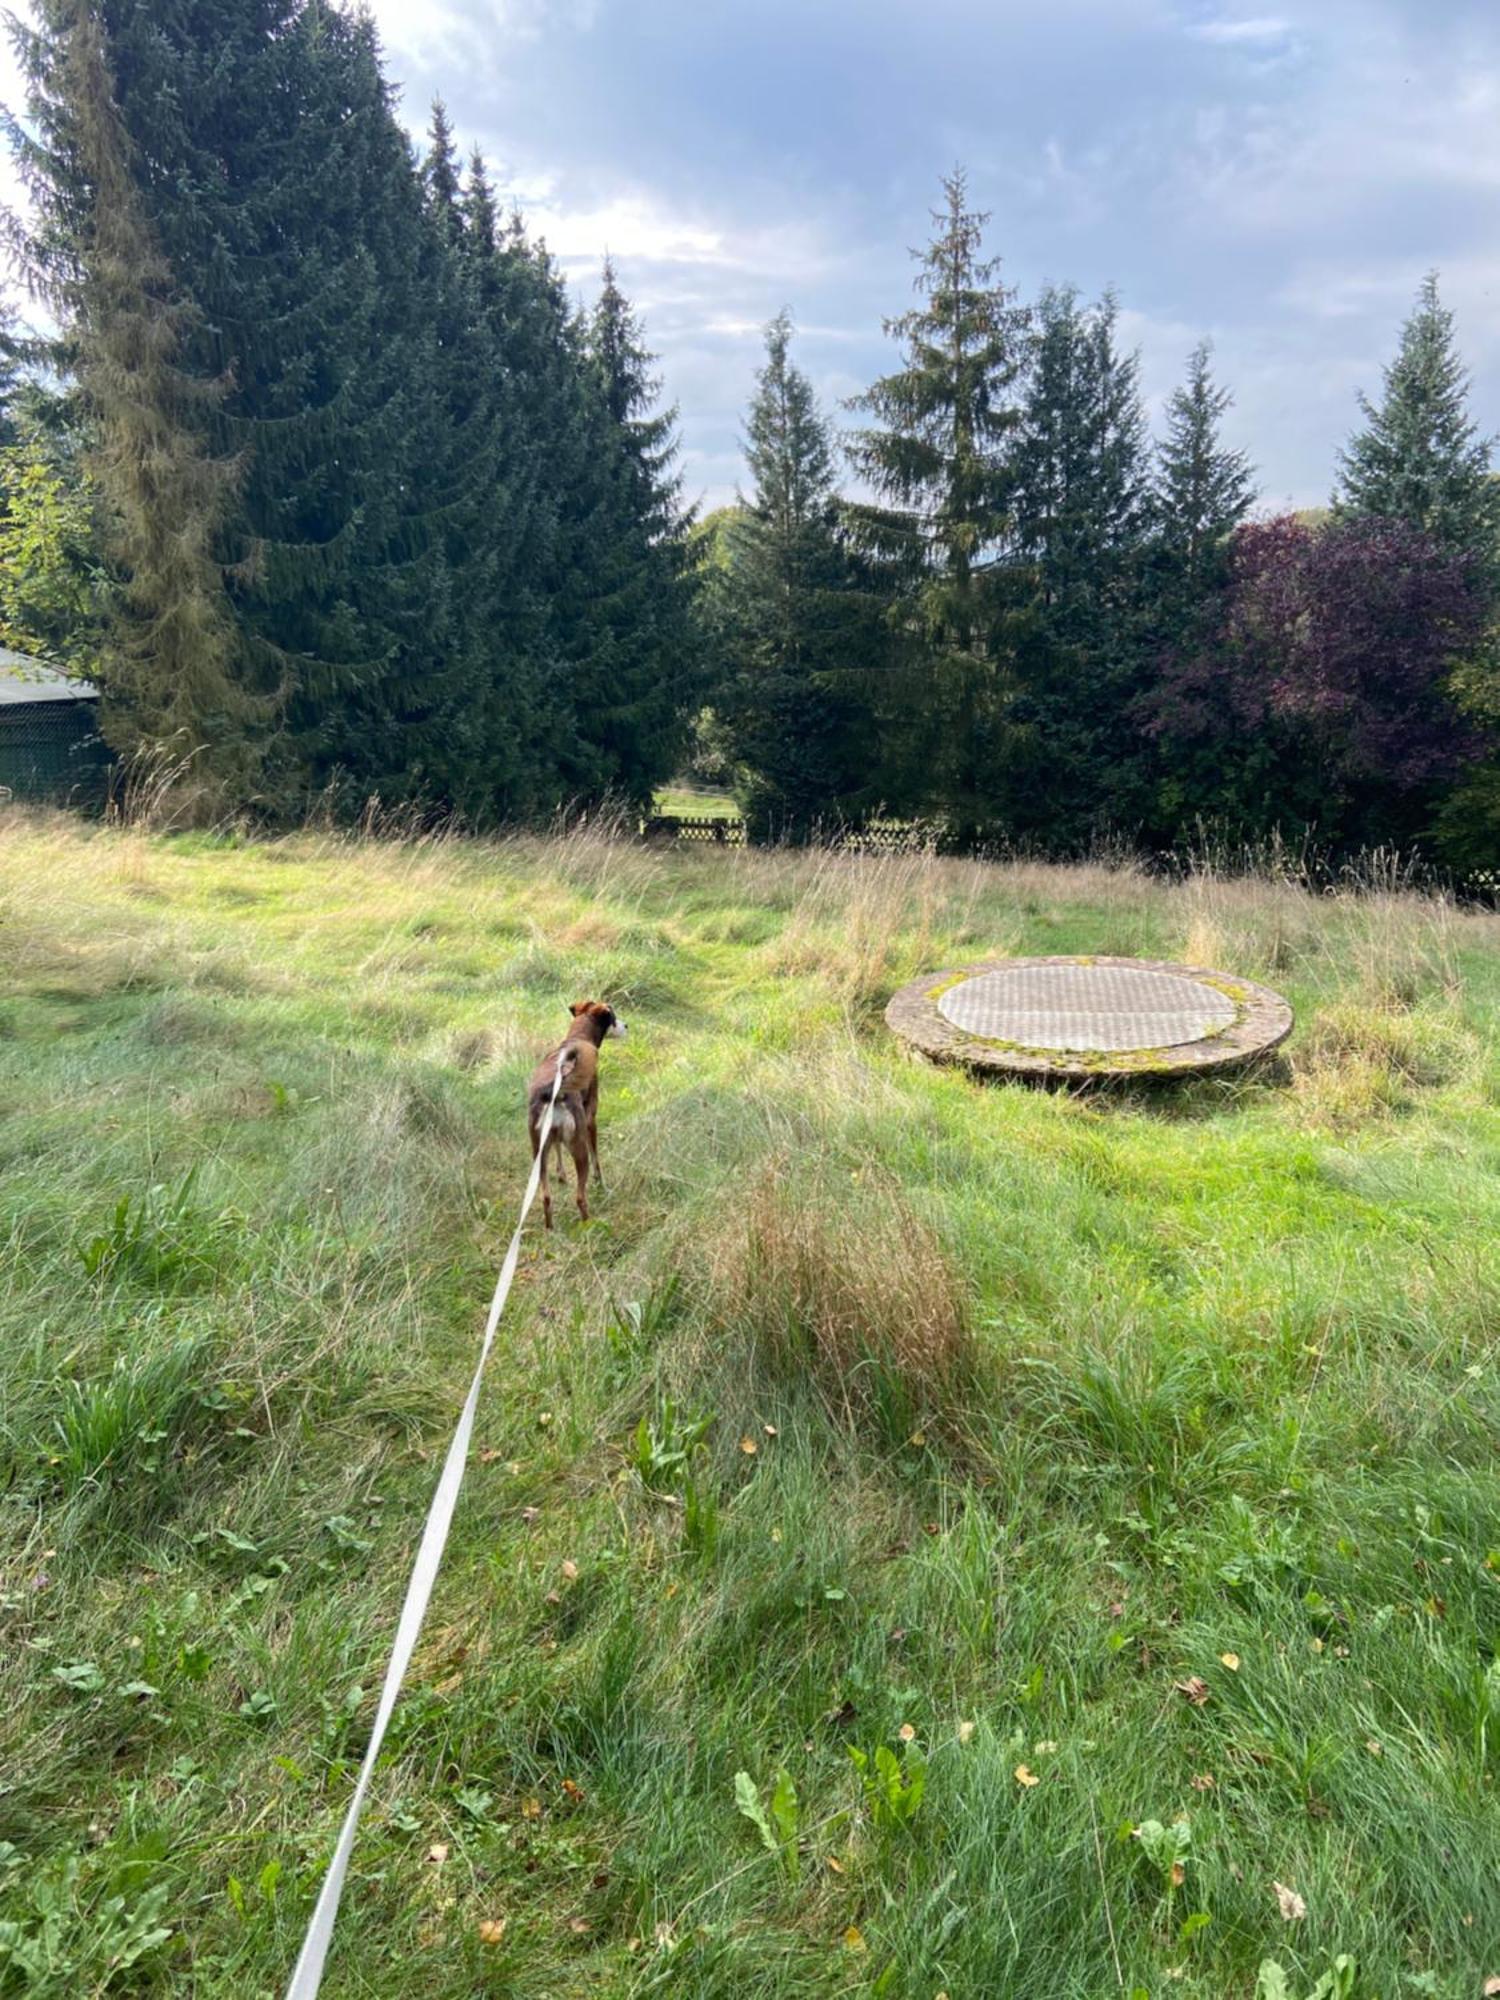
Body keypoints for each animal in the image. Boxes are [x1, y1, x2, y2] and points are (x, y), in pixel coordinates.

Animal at [532, 996, 624, 1224]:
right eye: (614, 1018)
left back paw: (551, 1228)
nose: (627, 1025)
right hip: (580, 1150)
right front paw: (601, 1184)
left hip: (538, 1155)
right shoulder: (591, 1119)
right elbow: (597, 1159)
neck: (578, 1038)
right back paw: (589, 1224)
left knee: (546, 1198)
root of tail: (555, 1092)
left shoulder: (553, 1139)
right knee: (580, 1197)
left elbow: (558, 1151)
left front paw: (561, 1175)